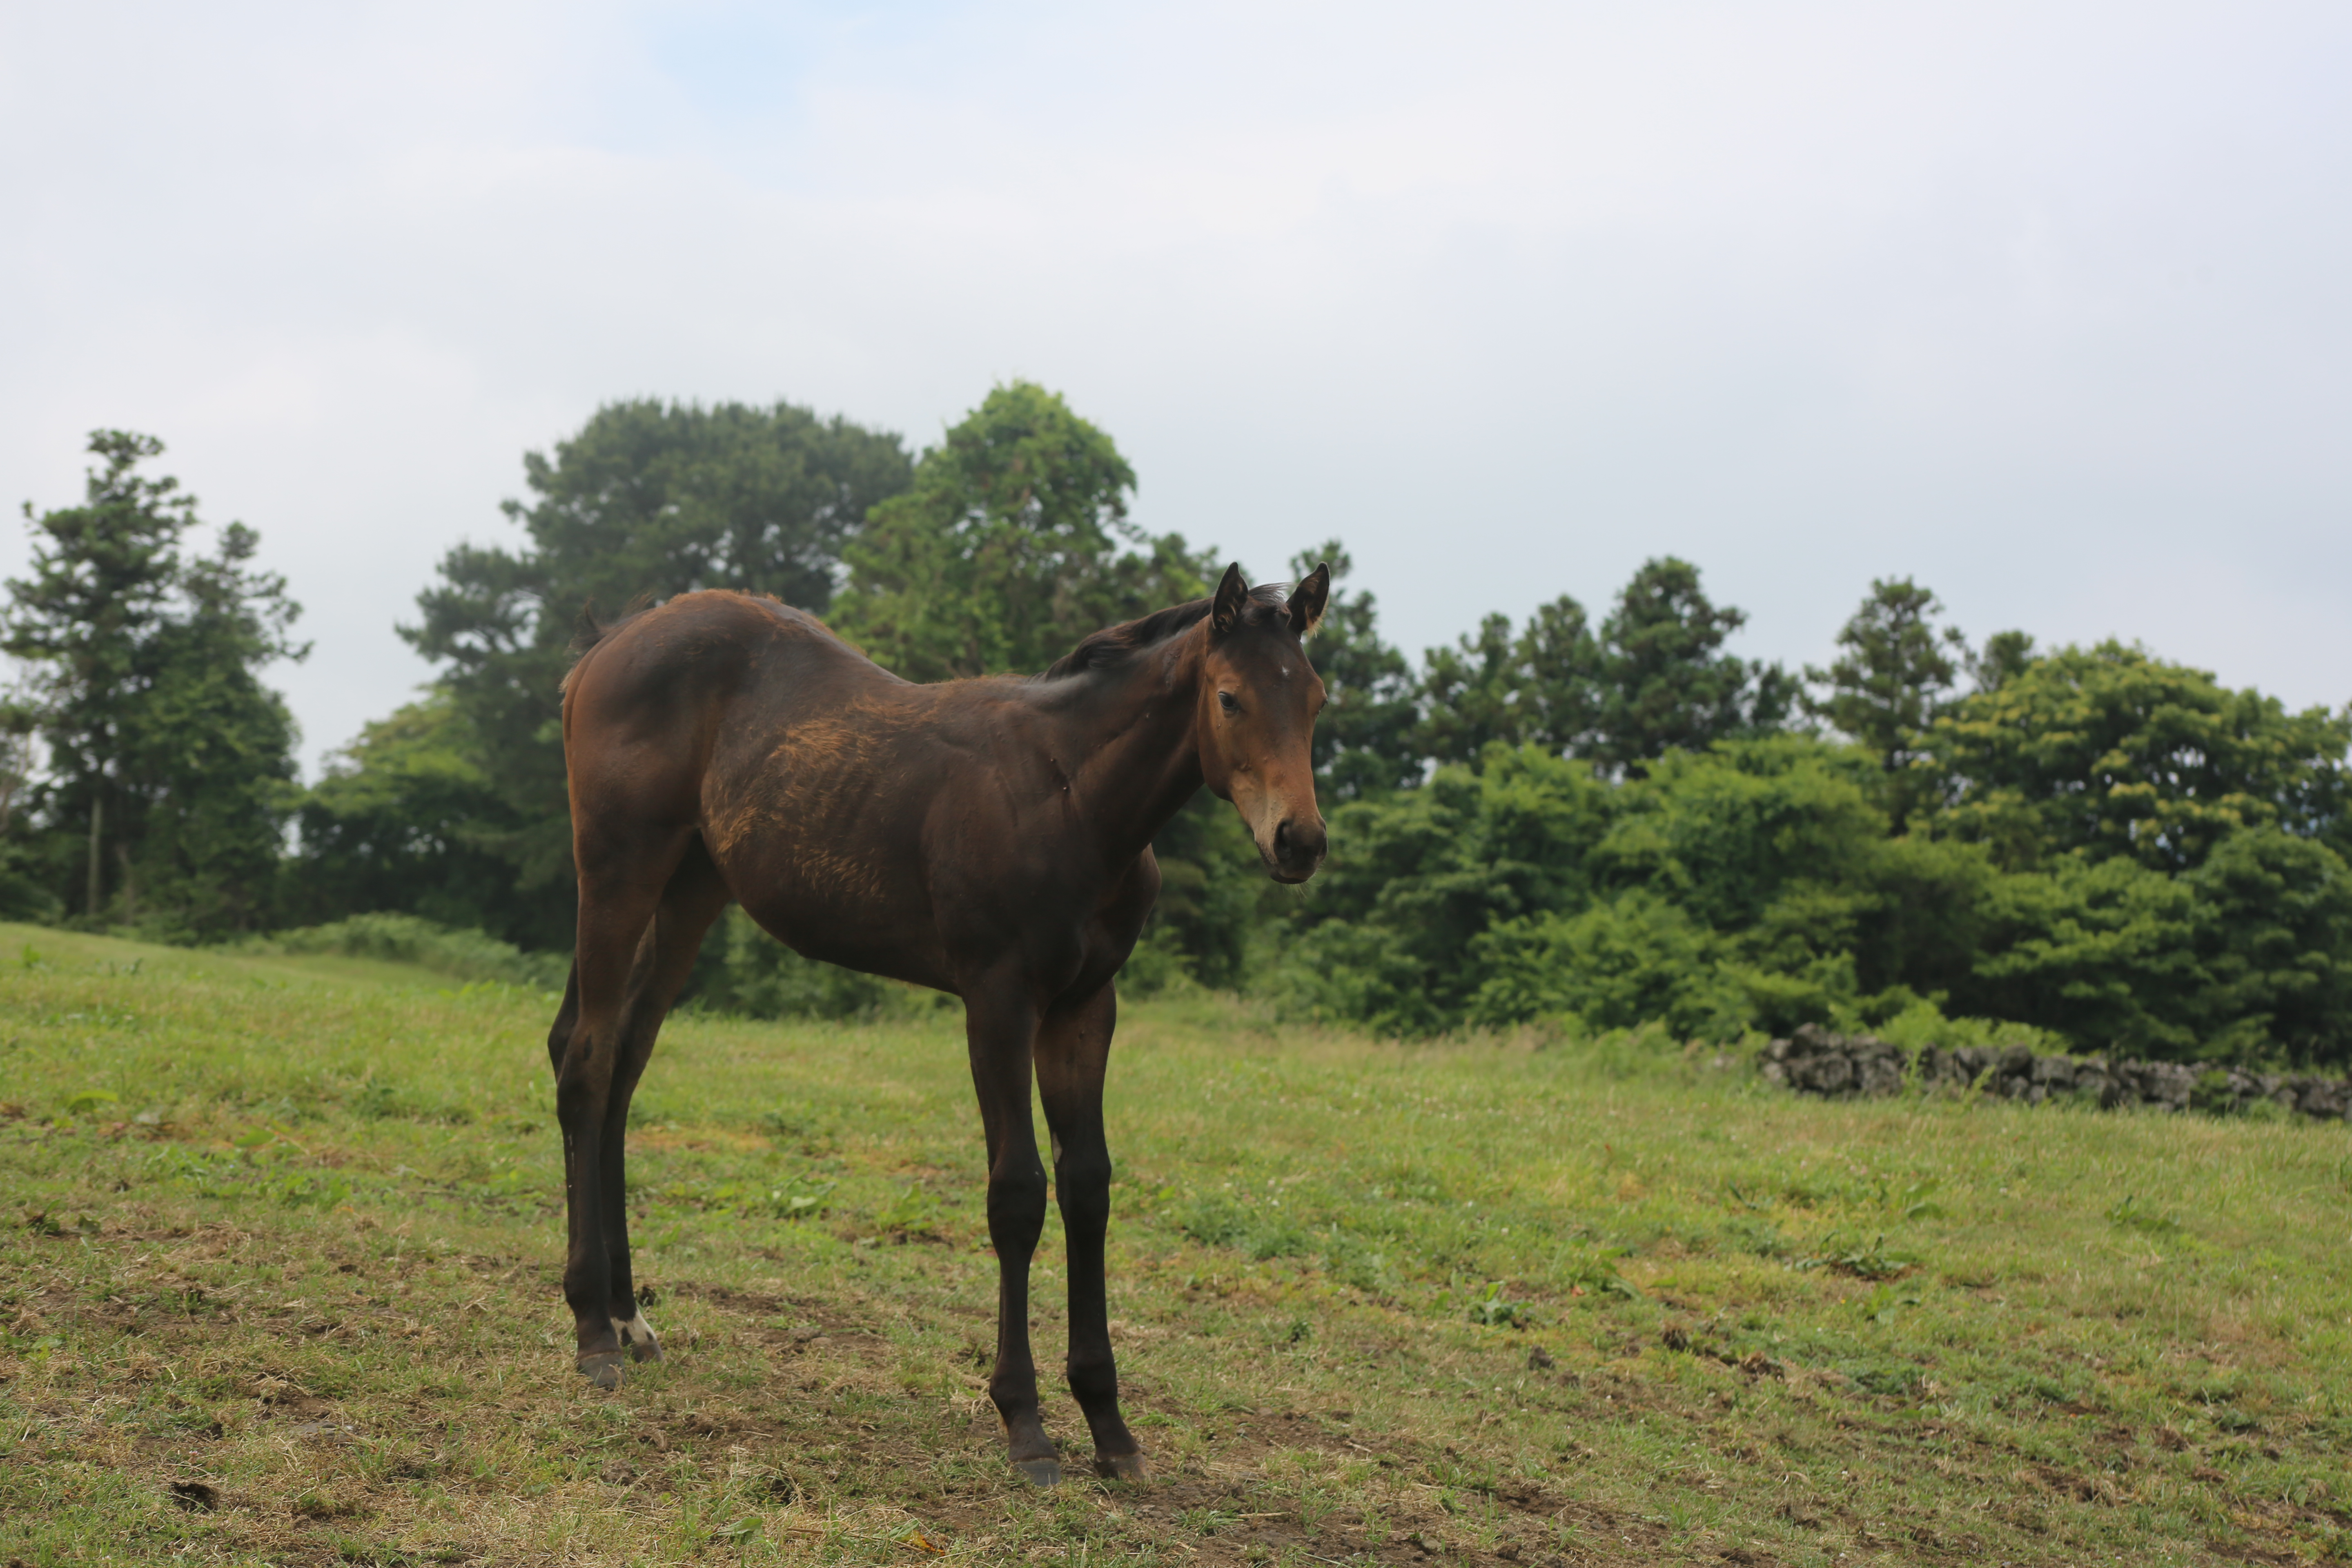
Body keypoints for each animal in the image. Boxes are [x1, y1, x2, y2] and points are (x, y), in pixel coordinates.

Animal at [539, 561, 1336, 1486]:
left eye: (1315, 697)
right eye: (1231, 697)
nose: (1299, 841)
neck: (1071, 794)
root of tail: (608, 648)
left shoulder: (1085, 1007)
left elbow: (1089, 1186)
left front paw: (1109, 1425)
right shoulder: (998, 998)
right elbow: (1018, 1193)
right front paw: (1026, 1424)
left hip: (692, 887)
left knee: (623, 1060)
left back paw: (630, 1319)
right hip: (619, 866)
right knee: (587, 1061)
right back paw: (591, 1331)